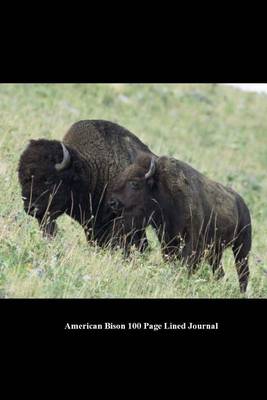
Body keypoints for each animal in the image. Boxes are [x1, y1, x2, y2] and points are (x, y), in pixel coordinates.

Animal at [108, 153, 252, 290]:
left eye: (135, 183)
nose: (112, 202)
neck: (163, 191)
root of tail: (243, 204)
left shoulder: (192, 242)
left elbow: (187, 264)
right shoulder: (168, 241)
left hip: (241, 248)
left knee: (243, 273)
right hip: (216, 252)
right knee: (220, 272)